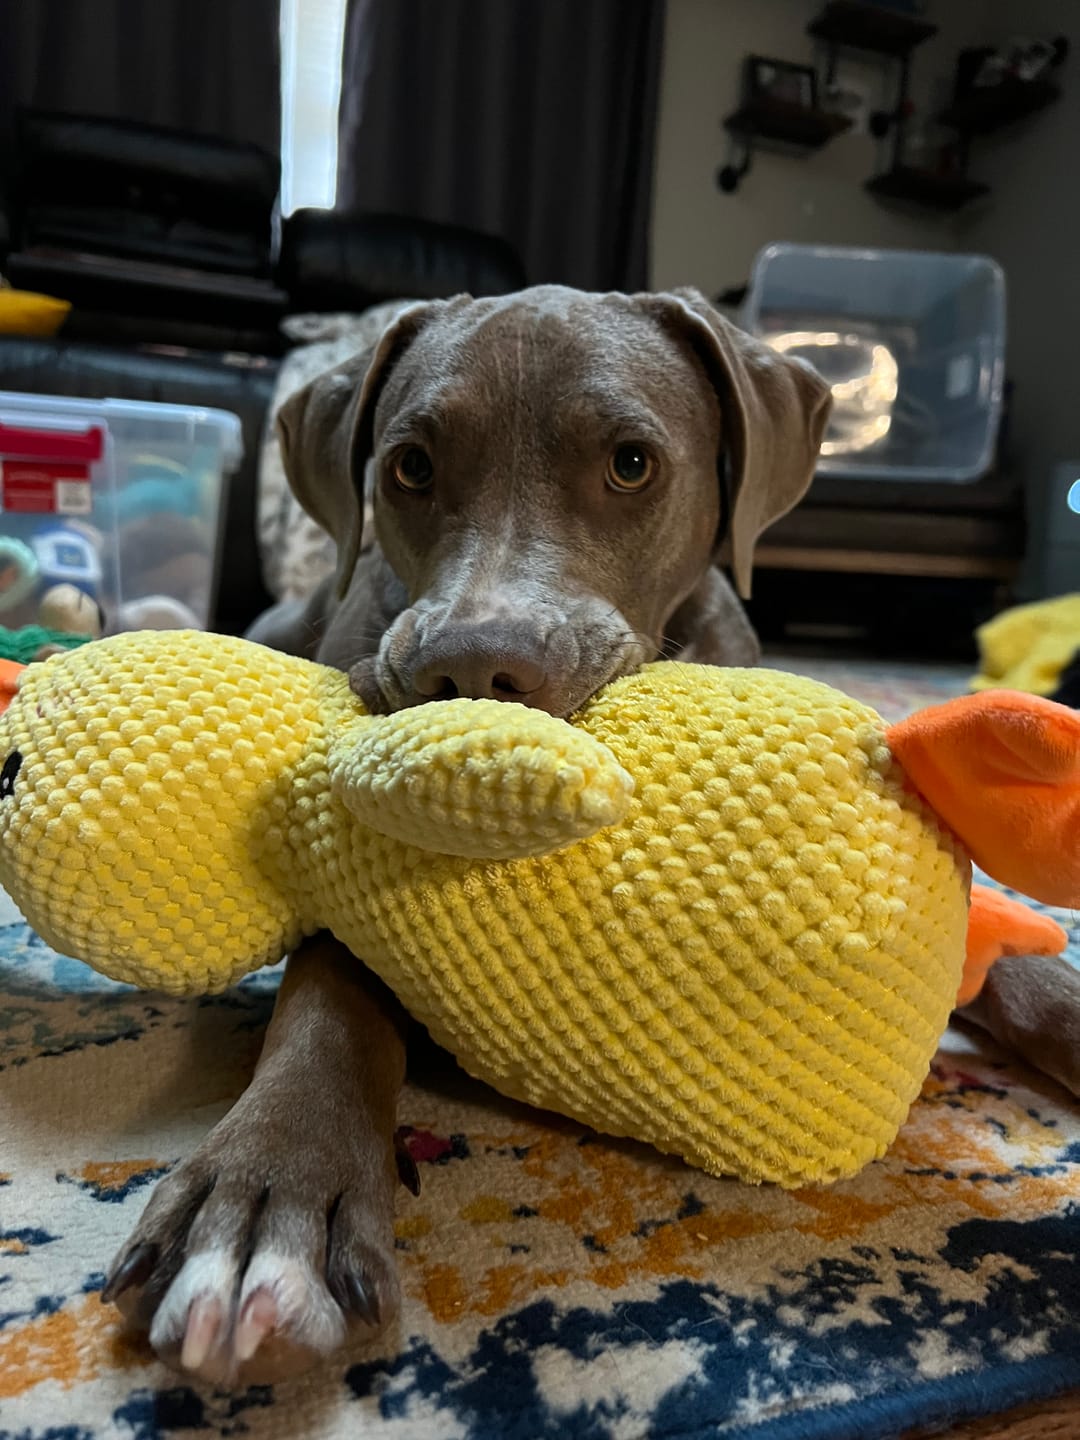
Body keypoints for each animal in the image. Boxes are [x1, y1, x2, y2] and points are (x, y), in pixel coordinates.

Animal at [99, 283, 1080, 1382]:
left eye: (631, 463)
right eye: (411, 466)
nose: (470, 665)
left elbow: (1016, 952)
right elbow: (330, 995)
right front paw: (271, 1188)